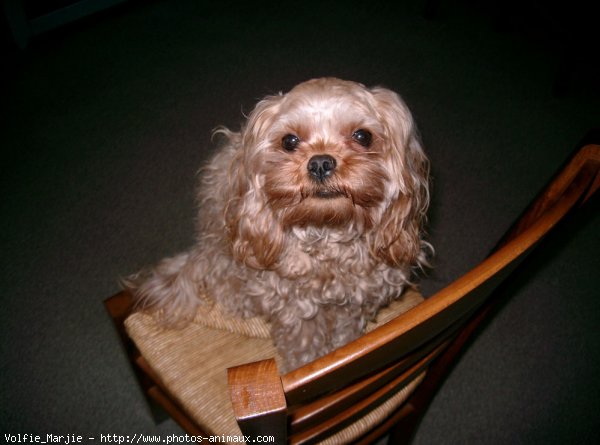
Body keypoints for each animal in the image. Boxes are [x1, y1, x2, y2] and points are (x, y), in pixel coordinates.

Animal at [125, 78, 432, 370]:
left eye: (363, 136)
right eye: (289, 141)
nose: (320, 162)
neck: (328, 234)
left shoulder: (356, 301)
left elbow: (345, 332)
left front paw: (344, 352)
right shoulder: (295, 310)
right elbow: (304, 348)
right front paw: (309, 368)